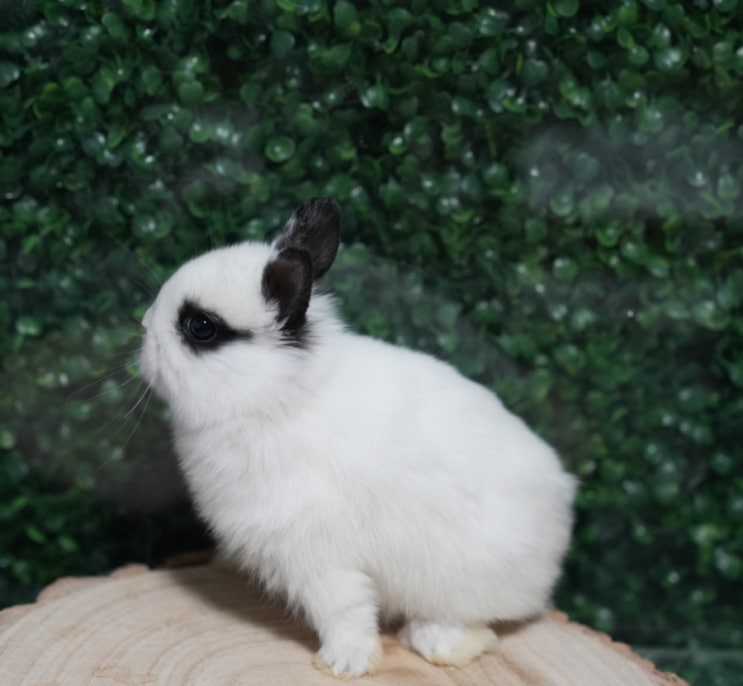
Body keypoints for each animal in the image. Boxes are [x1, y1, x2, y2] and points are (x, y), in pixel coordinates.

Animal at [139, 197, 576, 678]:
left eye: (200, 326)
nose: (143, 325)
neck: (278, 398)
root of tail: (560, 513)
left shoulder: (317, 554)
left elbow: (345, 610)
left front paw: (344, 663)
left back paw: (441, 643)